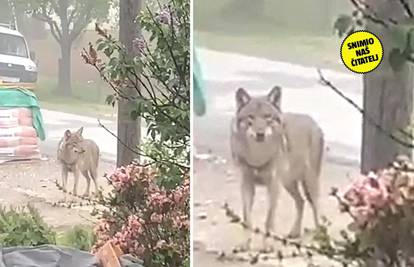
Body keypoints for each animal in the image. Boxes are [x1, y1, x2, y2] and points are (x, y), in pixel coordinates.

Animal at [230, 86, 324, 251]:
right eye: (251, 117)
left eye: (267, 116)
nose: (260, 134)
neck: (258, 155)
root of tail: (313, 122)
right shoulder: (246, 185)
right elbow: (247, 219)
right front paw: (245, 244)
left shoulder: (273, 186)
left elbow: (269, 219)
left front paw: (267, 246)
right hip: (288, 184)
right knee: (301, 202)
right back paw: (294, 233)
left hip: (308, 182)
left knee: (316, 206)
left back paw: (319, 236)